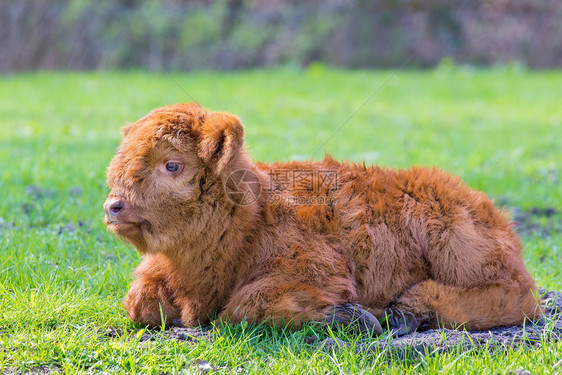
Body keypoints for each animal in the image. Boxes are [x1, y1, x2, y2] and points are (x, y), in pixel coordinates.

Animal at [104, 103, 540, 338]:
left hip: (457, 247)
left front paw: (352, 316)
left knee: (518, 296)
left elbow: (244, 306)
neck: (250, 218)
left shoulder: (318, 270)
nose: (113, 206)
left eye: (172, 165)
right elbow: (141, 302)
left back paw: (403, 312)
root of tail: (487, 208)